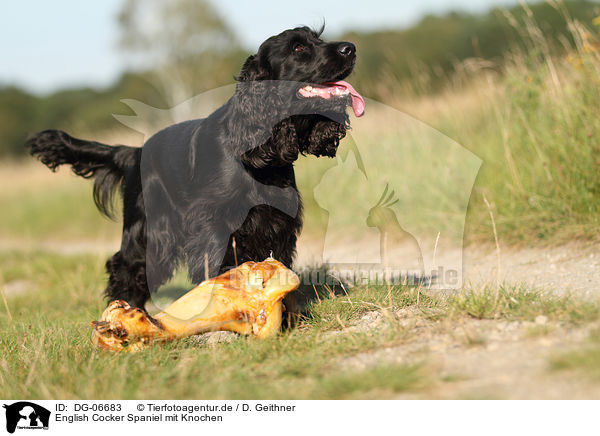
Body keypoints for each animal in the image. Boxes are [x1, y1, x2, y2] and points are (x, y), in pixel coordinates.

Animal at [27, 25, 366, 308]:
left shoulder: (276, 222)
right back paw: (125, 310)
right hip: (148, 229)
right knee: (124, 265)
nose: (350, 48)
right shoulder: (212, 223)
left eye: (318, 39)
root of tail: (135, 153)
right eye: (298, 48)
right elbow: (217, 265)